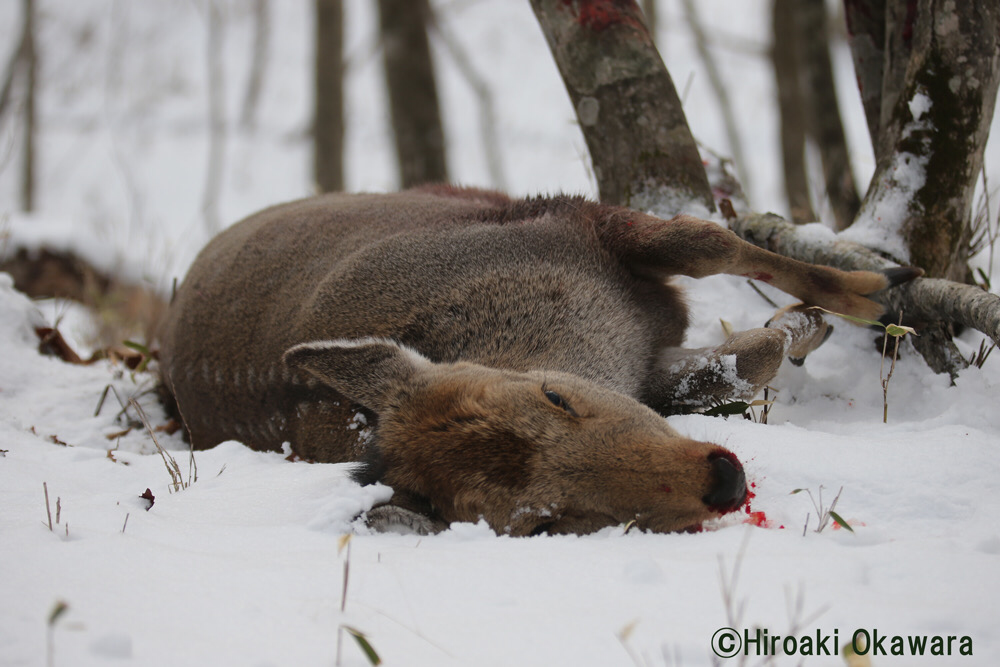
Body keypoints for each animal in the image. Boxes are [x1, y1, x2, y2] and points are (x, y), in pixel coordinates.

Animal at [157, 185, 919, 536]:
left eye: (554, 394)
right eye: (546, 519)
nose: (724, 477)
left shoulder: (571, 219)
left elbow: (706, 241)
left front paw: (876, 285)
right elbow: (732, 364)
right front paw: (807, 324)